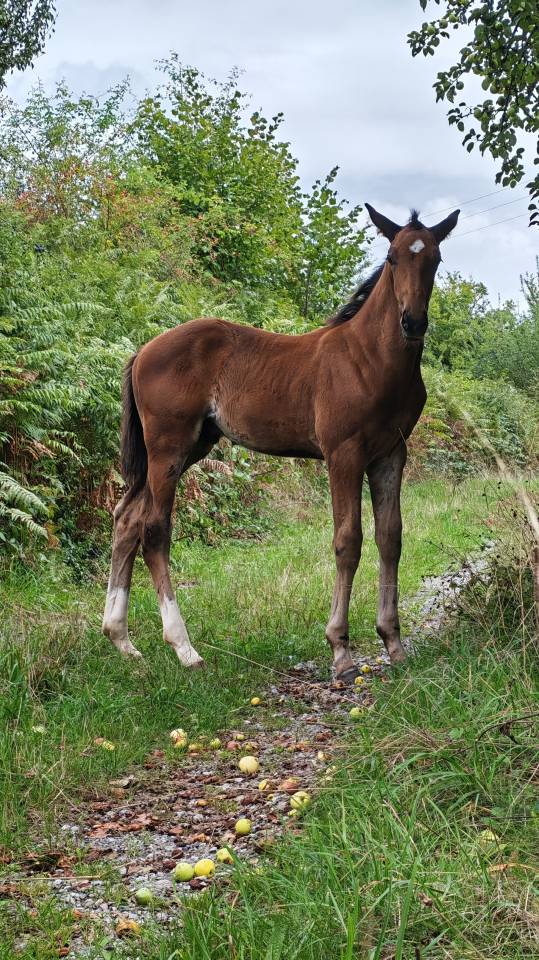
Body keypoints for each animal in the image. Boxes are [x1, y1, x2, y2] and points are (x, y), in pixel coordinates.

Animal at [102, 203, 459, 683]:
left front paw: (394, 644)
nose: (413, 322)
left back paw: (121, 639)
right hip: (168, 448)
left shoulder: (390, 454)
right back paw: (184, 647)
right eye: (392, 259)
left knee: (126, 519)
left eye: (435, 260)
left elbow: (391, 537)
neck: (371, 359)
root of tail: (142, 351)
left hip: (192, 446)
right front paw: (341, 650)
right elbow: (349, 540)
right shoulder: (343, 454)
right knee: (154, 529)